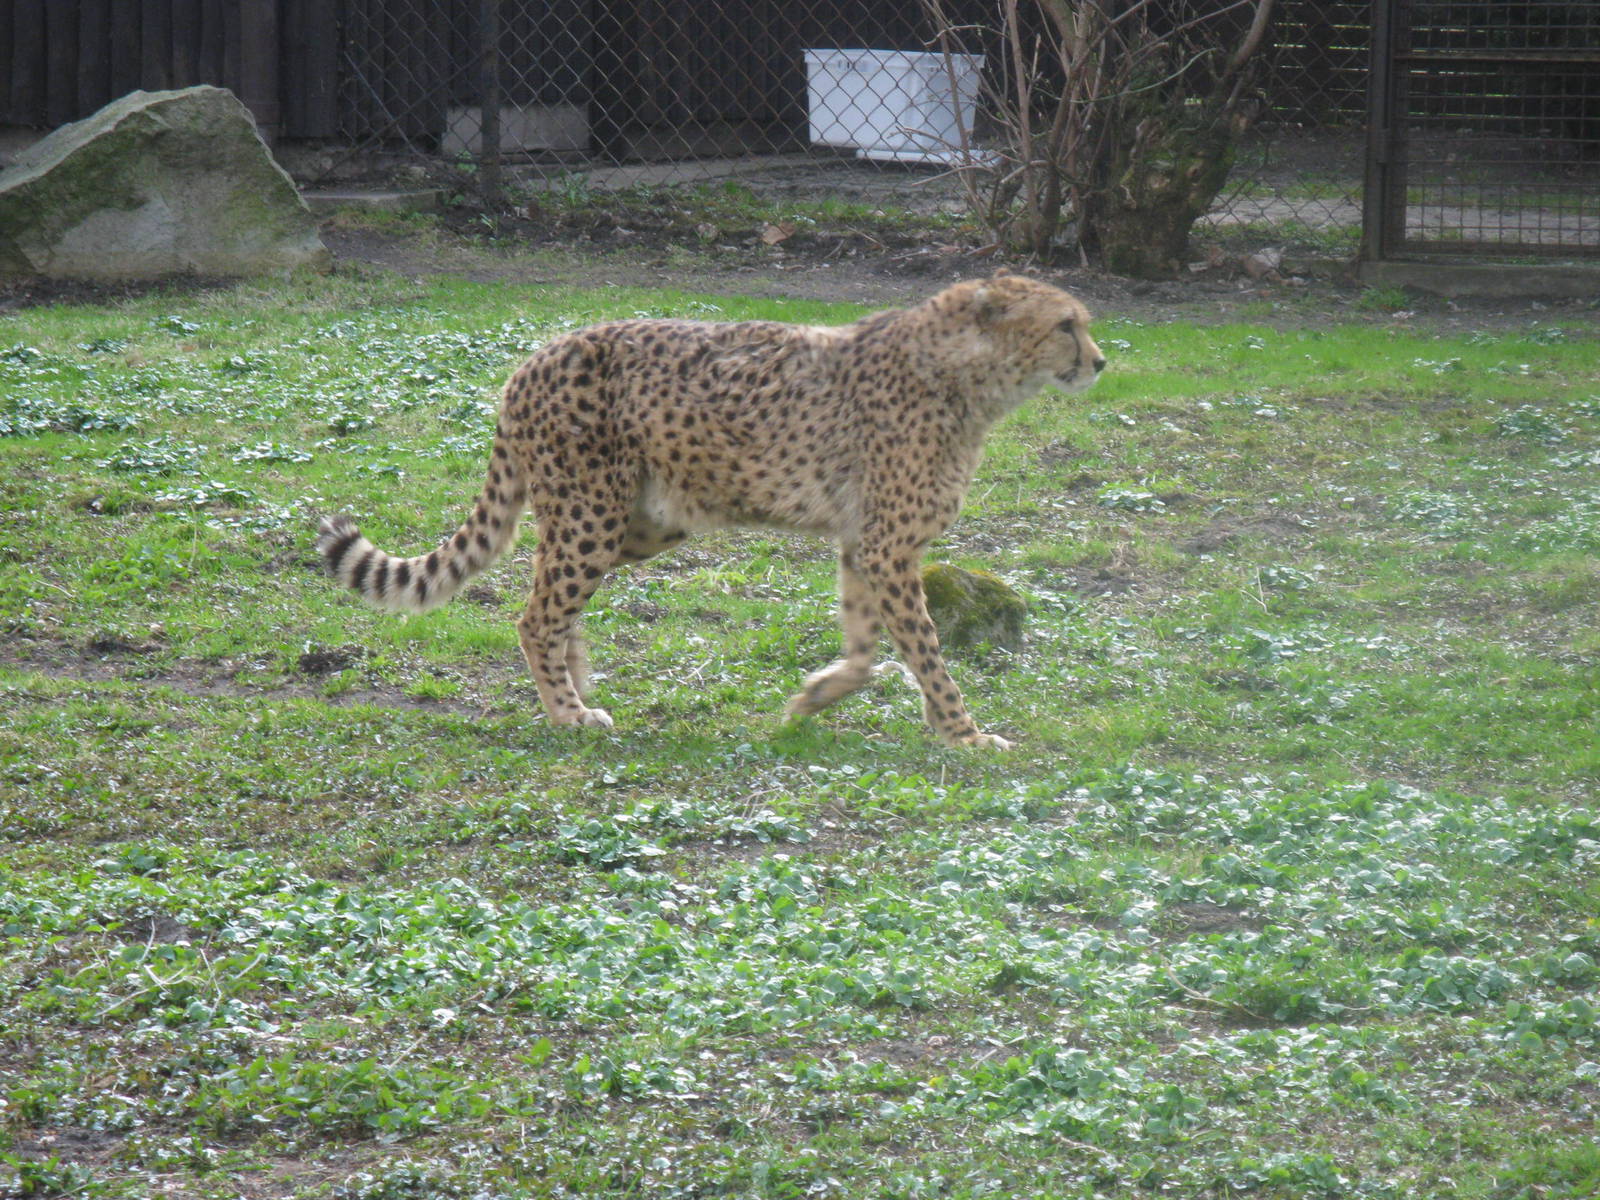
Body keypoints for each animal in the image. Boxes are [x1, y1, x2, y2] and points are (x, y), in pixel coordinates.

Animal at [316, 271, 1105, 749]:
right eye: (1066, 324)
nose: (1100, 362)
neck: (967, 373)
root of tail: (534, 357)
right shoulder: (887, 545)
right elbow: (926, 651)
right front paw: (964, 734)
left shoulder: (863, 543)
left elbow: (865, 648)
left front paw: (814, 698)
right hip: (593, 512)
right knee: (536, 613)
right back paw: (568, 712)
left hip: (641, 520)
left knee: (551, 601)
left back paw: (576, 684)